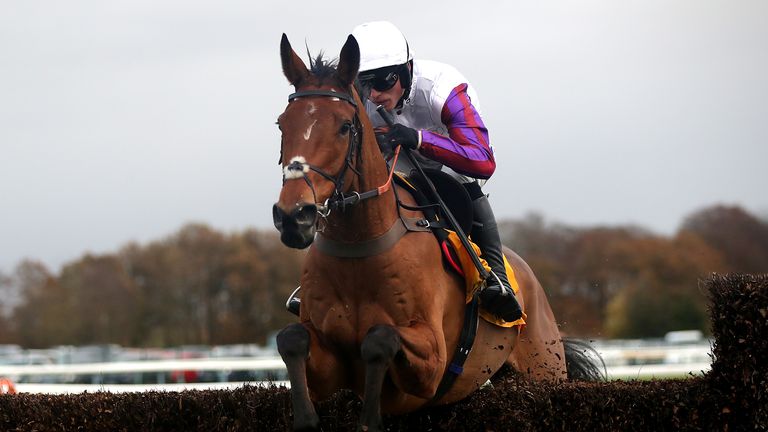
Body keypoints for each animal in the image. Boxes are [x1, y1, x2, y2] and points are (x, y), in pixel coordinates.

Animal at [272, 34, 600, 432]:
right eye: (281, 125)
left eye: (344, 126)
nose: (294, 216)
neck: (361, 247)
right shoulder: (329, 363)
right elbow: (291, 338)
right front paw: (307, 418)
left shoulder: (431, 362)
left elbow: (379, 339)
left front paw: (369, 418)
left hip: (543, 369)